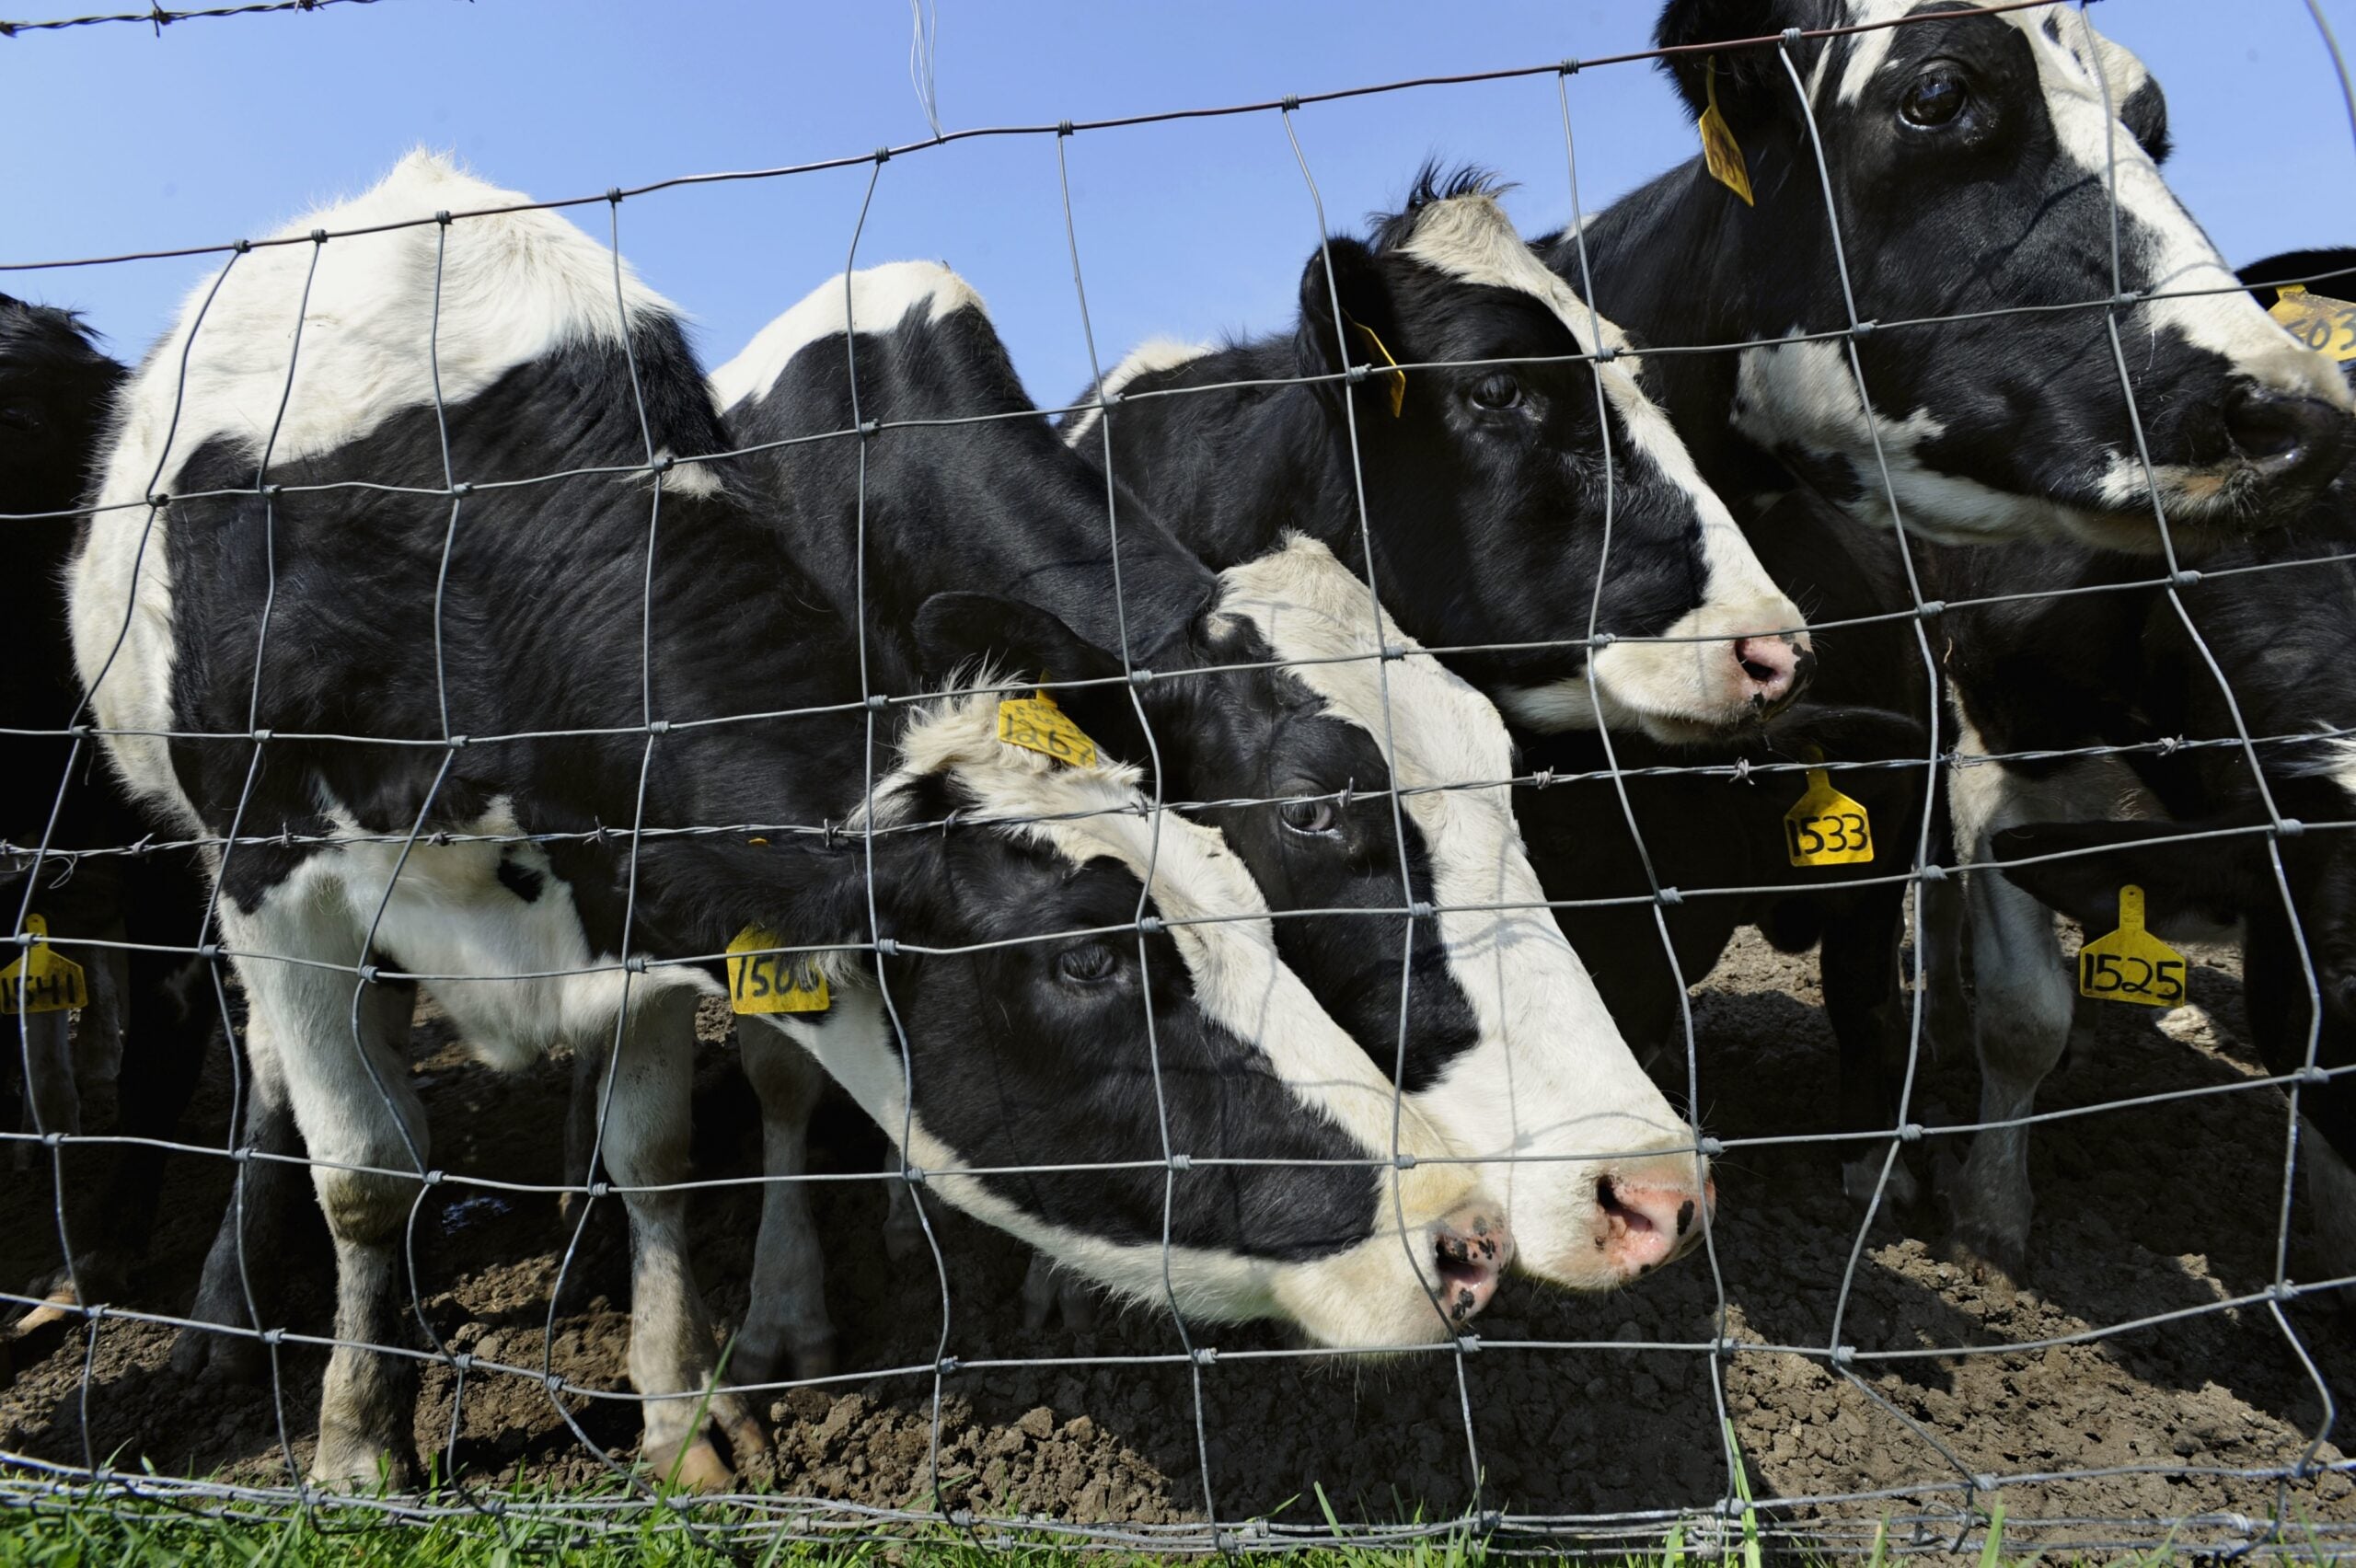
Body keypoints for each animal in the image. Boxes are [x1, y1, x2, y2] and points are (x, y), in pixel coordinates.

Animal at [66, 154, 1512, 1490]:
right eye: (1086, 959)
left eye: (1248, 894)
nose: (1466, 1235)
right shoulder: (274, 874)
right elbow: (365, 1170)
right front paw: (361, 1442)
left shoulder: (644, 884)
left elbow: (651, 1154)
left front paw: (683, 1416)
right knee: (284, 1088)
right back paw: (233, 1314)